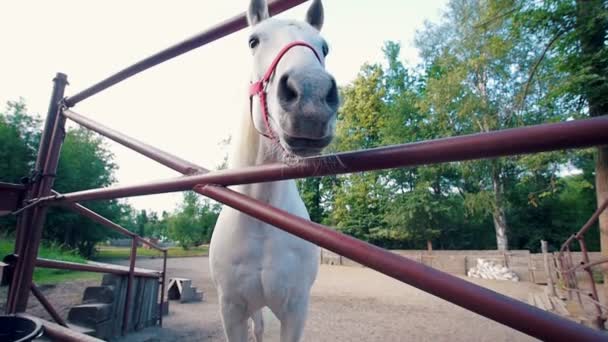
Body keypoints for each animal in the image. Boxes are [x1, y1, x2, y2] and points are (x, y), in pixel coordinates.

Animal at [210, 1, 338, 340]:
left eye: (324, 47)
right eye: (253, 41)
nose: (311, 95)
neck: (261, 220)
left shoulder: (295, 310)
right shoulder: (231, 310)